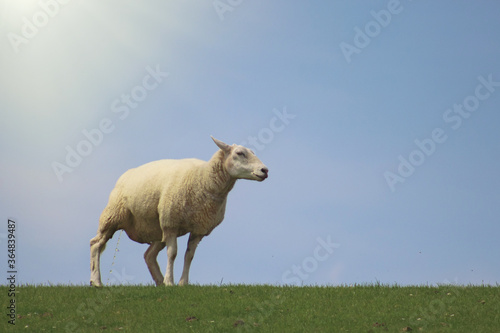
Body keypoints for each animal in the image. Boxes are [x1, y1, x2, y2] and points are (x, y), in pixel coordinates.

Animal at [90, 136, 270, 286]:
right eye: (240, 153)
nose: (265, 170)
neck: (204, 180)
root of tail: (127, 174)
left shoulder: (198, 229)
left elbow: (189, 256)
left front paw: (183, 283)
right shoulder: (171, 224)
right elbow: (172, 254)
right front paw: (171, 281)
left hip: (157, 227)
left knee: (149, 255)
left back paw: (160, 281)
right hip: (113, 216)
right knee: (96, 244)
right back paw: (96, 282)